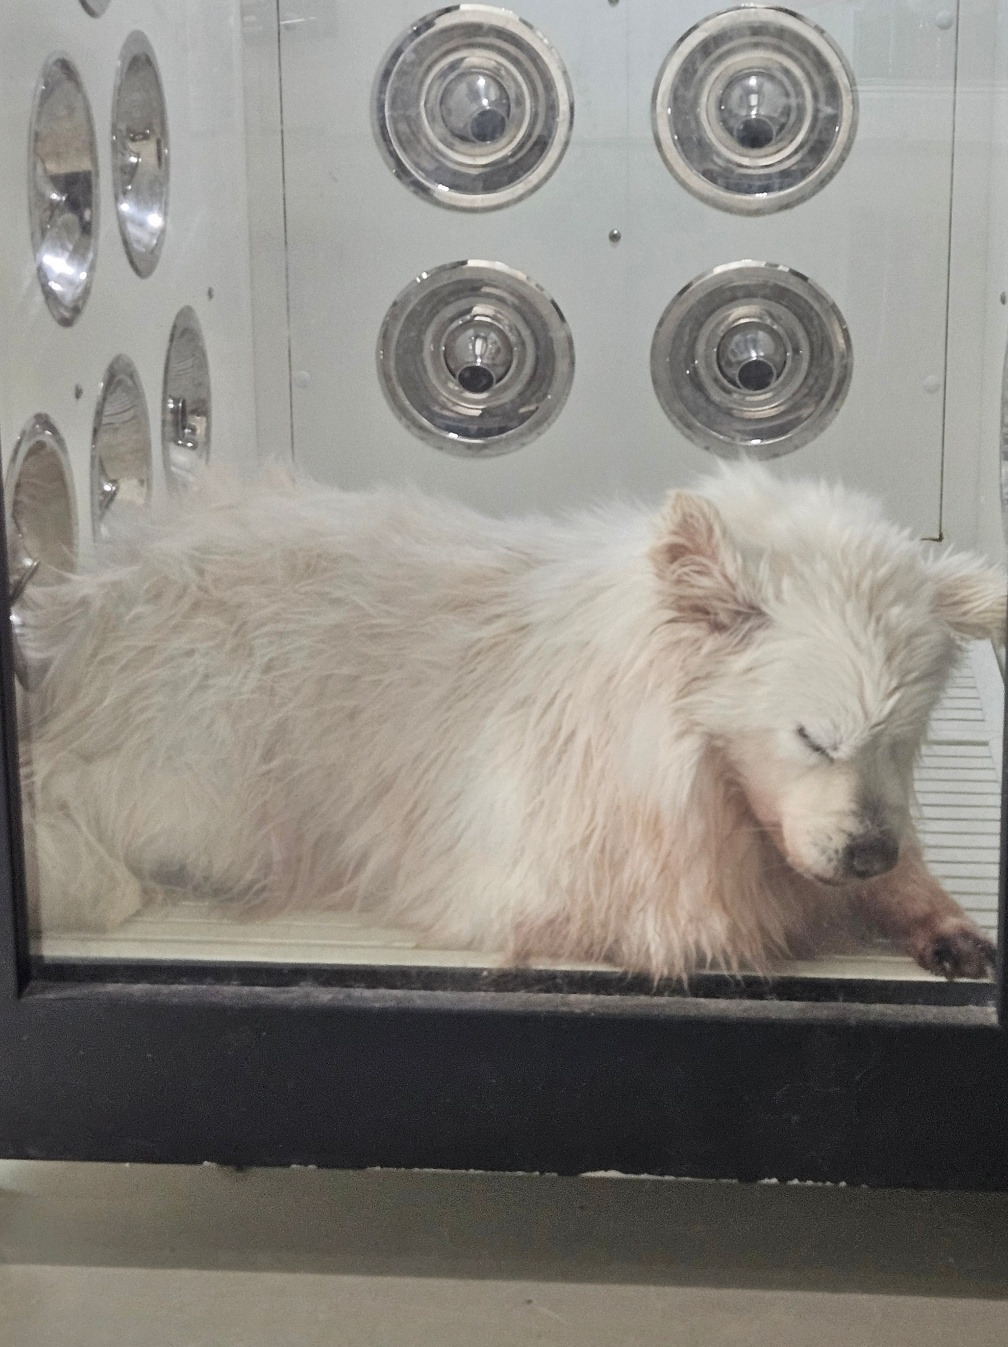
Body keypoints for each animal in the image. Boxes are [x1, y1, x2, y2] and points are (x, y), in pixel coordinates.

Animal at [17, 461, 1006, 980]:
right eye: (813, 738)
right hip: (207, 801)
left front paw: (937, 916)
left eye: (901, 745)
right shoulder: (546, 889)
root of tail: (87, 613)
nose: (868, 849)